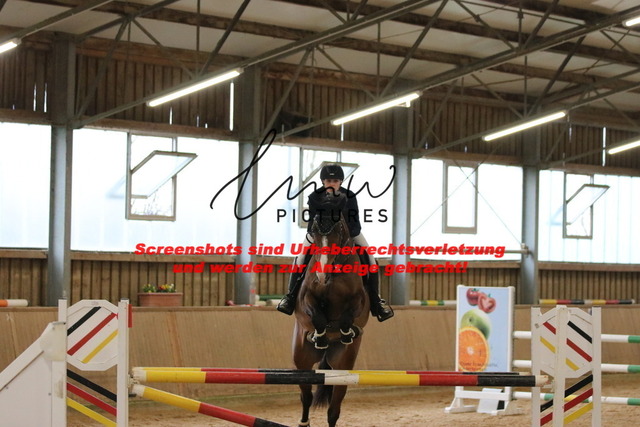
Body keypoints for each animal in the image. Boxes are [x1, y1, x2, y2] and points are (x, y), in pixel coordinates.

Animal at [292, 191, 370, 427]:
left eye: (338, 229)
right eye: (315, 230)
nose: (322, 274)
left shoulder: (359, 300)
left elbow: (346, 317)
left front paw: (345, 332)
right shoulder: (306, 297)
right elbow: (316, 315)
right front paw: (320, 335)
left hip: (343, 365)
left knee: (334, 407)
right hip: (301, 359)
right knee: (306, 396)